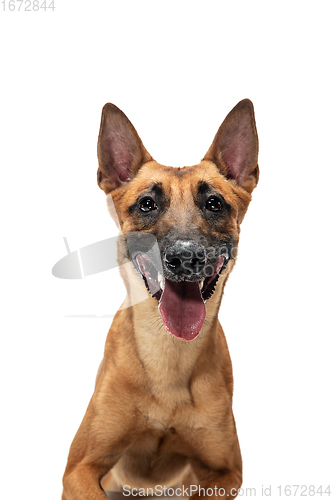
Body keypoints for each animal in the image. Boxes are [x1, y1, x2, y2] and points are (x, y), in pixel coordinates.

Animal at [62, 98, 260, 500]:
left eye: (214, 203)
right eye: (147, 204)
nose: (185, 257)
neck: (169, 355)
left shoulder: (227, 472)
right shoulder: (79, 469)